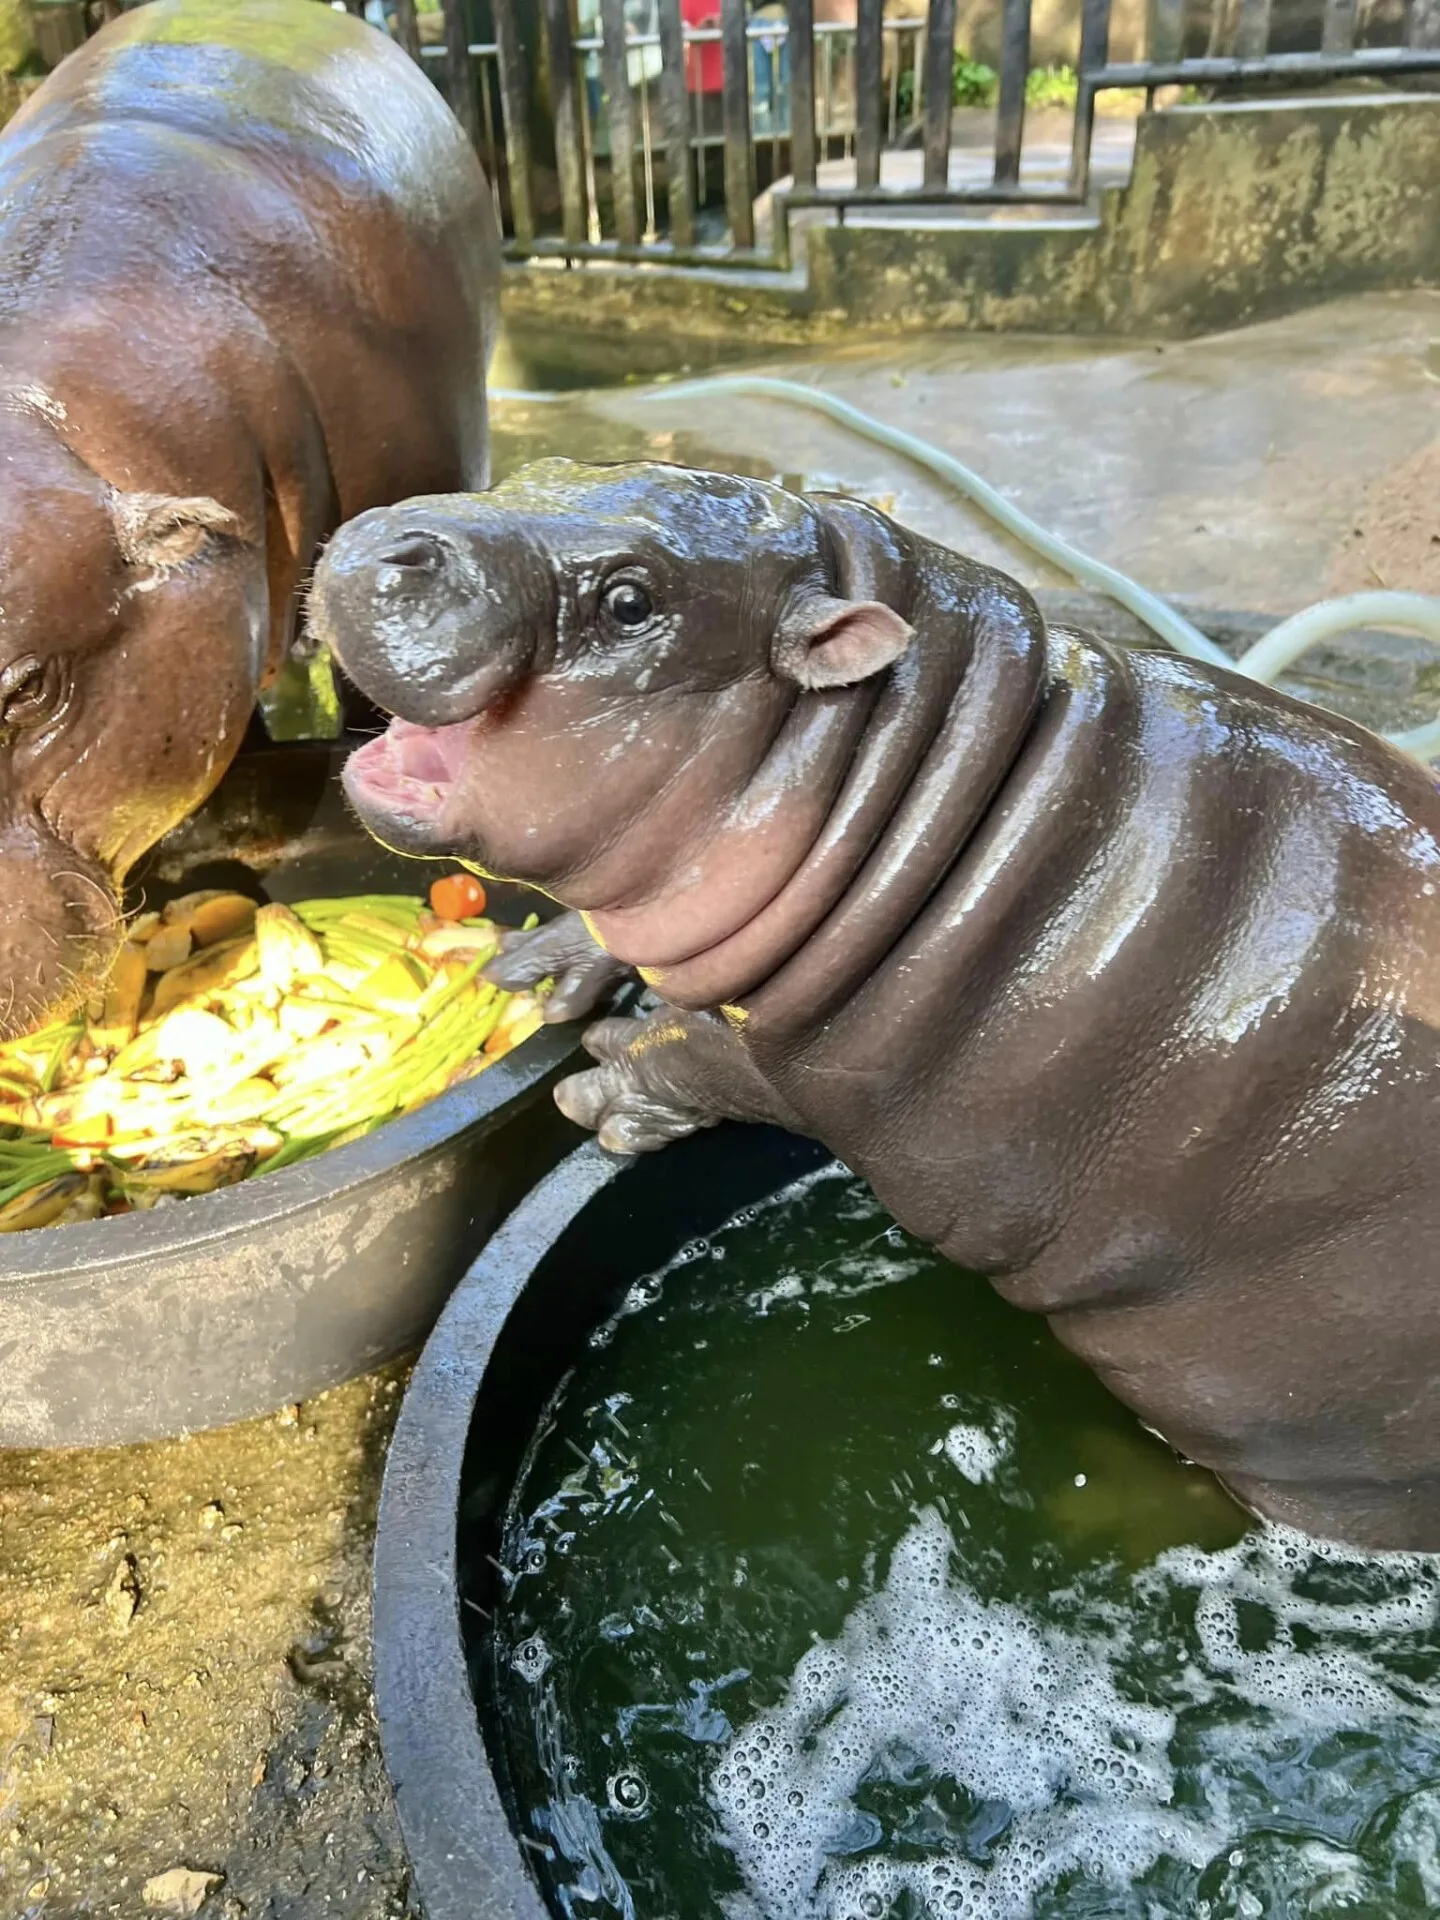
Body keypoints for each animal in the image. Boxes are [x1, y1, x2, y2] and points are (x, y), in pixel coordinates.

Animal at [312, 464, 1440, 1559]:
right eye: (548, 468)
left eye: (631, 601)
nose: (383, 536)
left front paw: (596, 1091)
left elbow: (691, 1053)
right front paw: (540, 963)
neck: (915, 764)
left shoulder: (815, 1064)